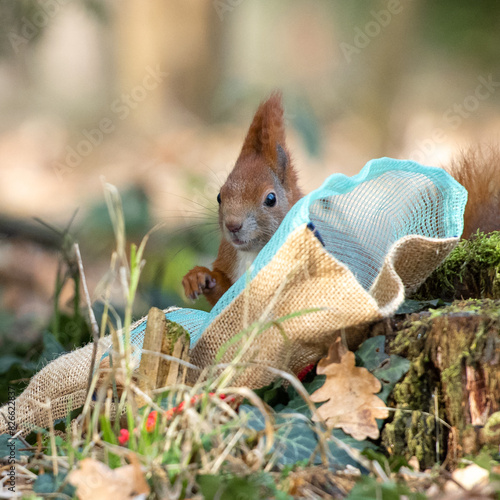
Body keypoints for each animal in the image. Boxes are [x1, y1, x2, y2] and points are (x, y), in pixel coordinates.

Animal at [182, 92, 302, 306]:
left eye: (271, 199)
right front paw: (197, 277)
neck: (252, 253)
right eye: (219, 196)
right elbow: (223, 296)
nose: (233, 225)